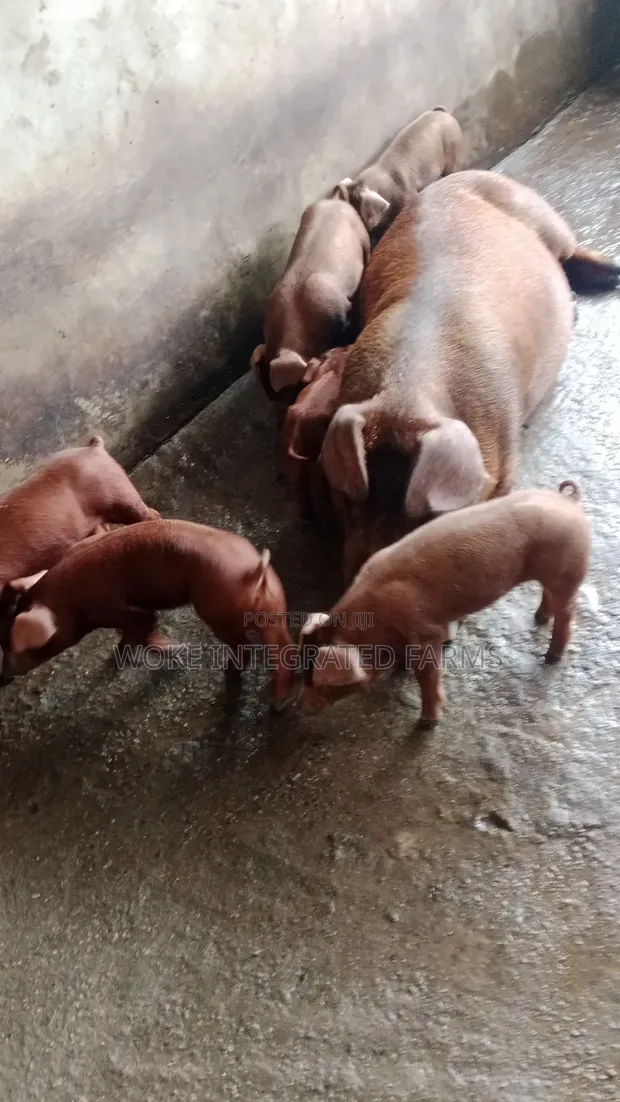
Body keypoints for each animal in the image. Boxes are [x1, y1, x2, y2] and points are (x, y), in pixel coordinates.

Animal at [2, 519, 296, 707]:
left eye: (17, 648)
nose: (4, 676)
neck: (66, 601)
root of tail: (254, 570)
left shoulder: (114, 608)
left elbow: (140, 628)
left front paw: (133, 657)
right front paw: (175, 649)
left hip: (217, 610)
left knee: (245, 646)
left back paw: (233, 676)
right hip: (274, 604)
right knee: (283, 647)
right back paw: (279, 702)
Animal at [299, 481, 591, 728]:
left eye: (322, 682)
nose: (304, 707)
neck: (373, 626)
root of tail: (568, 501)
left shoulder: (427, 633)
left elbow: (427, 678)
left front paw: (426, 723)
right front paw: (399, 670)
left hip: (568, 571)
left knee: (567, 613)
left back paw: (552, 657)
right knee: (549, 598)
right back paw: (539, 618)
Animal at [318, 169, 619, 582]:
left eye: (426, 519)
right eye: (350, 503)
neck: (409, 395)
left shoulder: (506, 458)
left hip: (544, 219)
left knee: (570, 251)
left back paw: (610, 276)